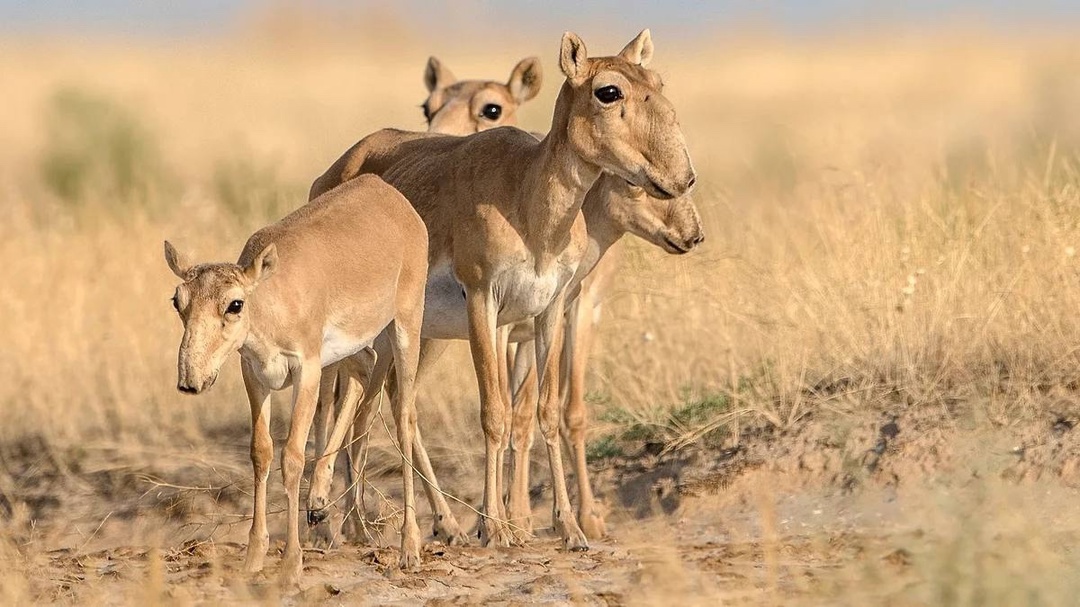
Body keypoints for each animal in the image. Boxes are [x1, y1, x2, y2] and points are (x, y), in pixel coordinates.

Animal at [164, 173, 425, 583]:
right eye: (178, 300)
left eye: (234, 304)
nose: (191, 380)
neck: (271, 296)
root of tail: (392, 197)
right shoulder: (255, 375)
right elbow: (261, 453)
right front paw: (254, 556)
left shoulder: (307, 371)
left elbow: (292, 457)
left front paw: (290, 563)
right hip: (353, 348)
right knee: (363, 375)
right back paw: (319, 502)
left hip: (405, 327)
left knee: (404, 416)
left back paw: (409, 548)